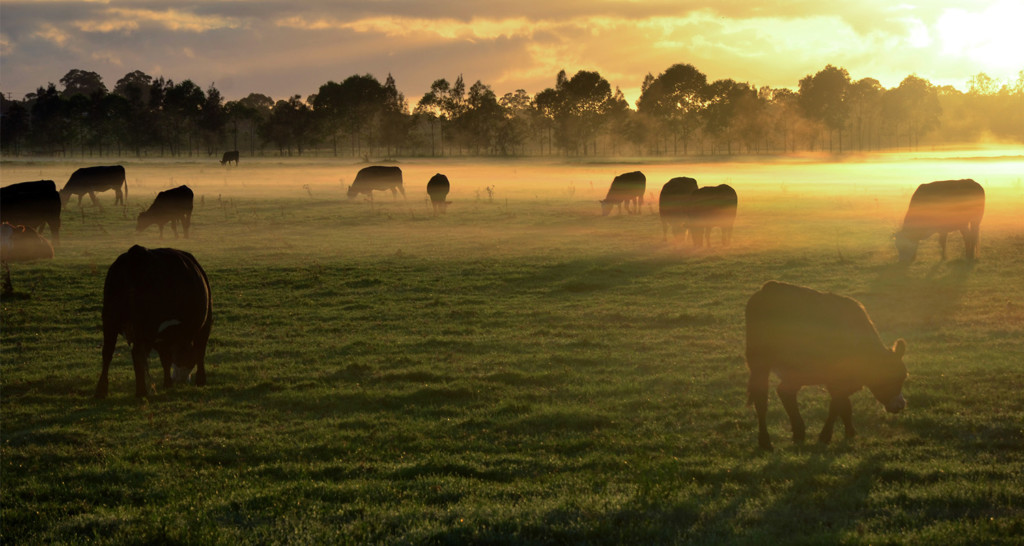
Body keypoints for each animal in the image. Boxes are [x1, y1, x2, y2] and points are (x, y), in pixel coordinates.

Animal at [97, 245, 214, 395]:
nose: (181, 380)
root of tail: (137, 253)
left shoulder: (162, 338)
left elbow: (166, 359)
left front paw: (167, 383)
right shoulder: (205, 325)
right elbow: (199, 352)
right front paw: (200, 380)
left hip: (110, 319)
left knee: (108, 352)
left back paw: (101, 391)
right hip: (143, 326)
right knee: (137, 354)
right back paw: (141, 391)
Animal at [745, 278, 905, 448]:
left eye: (903, 377)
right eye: (891, 378)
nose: (901, 404)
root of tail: (770, 286)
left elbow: (845, 406)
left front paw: (850, 432)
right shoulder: (837, 380)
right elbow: (836, 406)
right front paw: (825, 436)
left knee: (784, 392)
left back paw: (798, 433)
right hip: (761, 363)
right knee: (762, 398)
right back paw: (766, 442)